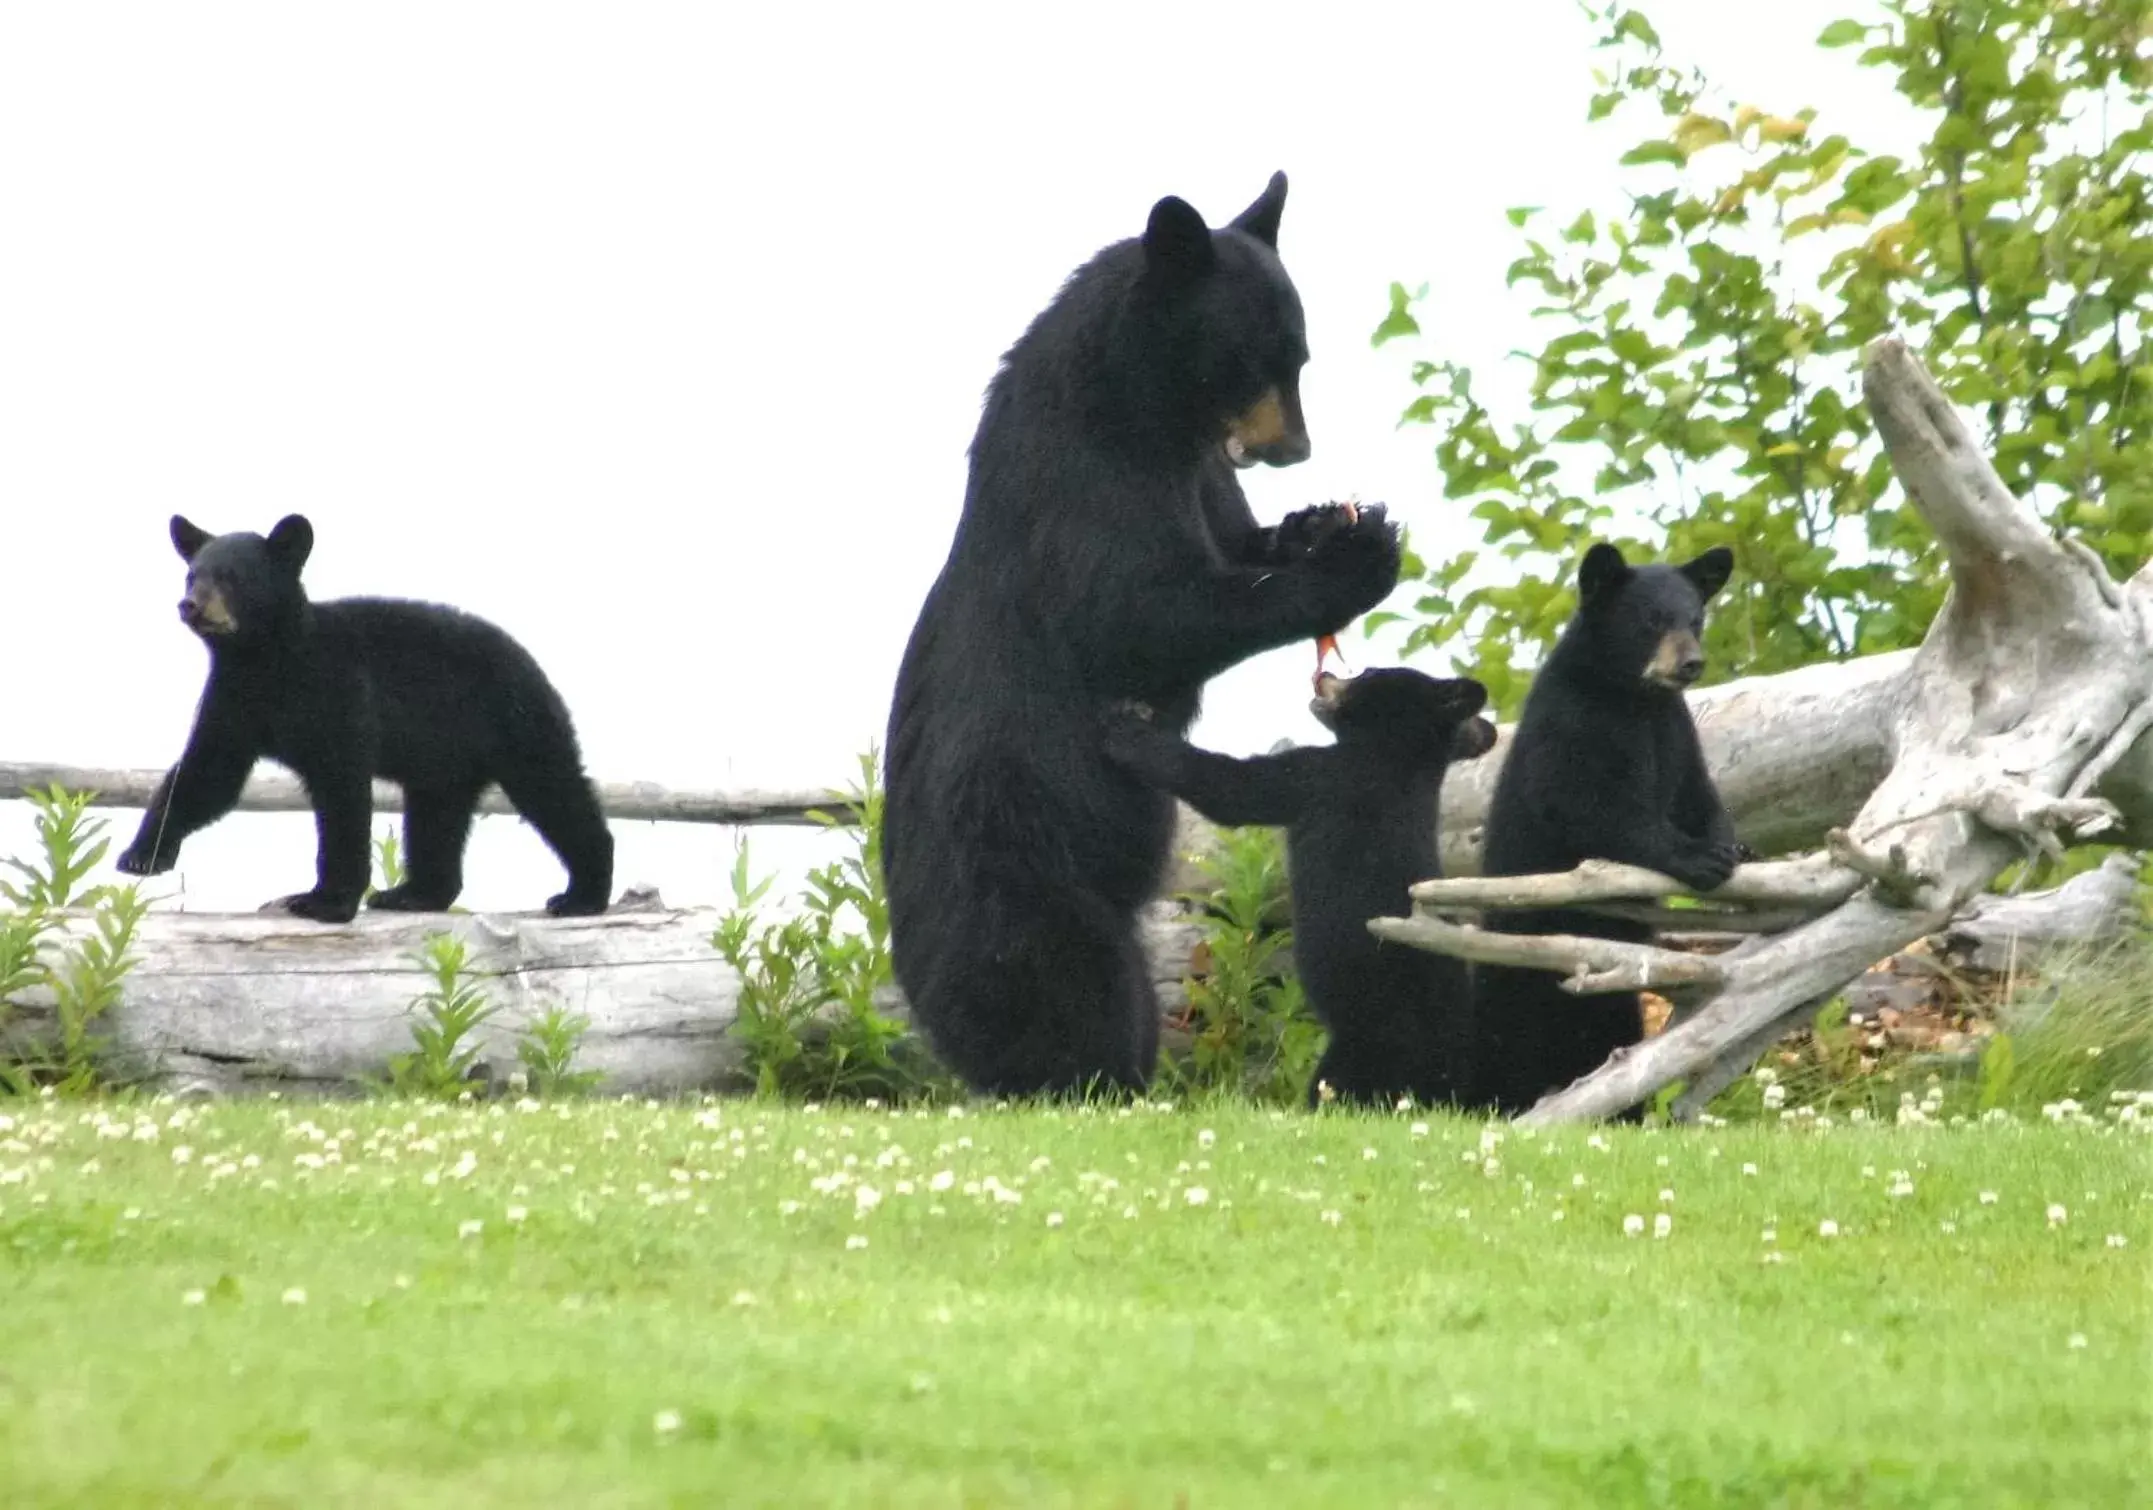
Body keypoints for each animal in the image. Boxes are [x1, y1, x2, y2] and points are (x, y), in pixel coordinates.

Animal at [121, 512, 615, 926]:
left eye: (232, 577)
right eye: (192, 574)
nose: (190, 605)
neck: (270, 660)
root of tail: (530, 661)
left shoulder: (338, 692)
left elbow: (342, 796)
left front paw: (324, 901)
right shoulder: (233, 701)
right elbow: (207, 776)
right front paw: (142, 855)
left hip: (515, 722)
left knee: (554, 791)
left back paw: (581, 895)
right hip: (445, 758)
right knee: (436, 814)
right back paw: (413, 894)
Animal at [887, 173, 1403, 1094]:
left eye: (1300, 357)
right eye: (1256, 357)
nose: (1297, 449)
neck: (1143, 410)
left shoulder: (1199, 473)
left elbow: (1236, 539)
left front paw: (1321, 525)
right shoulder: (1081, 479)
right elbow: (1139, 615)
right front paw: (1351, 562)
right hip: (1022, 884)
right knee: (1075, 997)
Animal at [1102, 663, 1489, 1102]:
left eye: (1367, 671)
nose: (1326, 673)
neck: (1393, 755)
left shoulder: (1322, 778)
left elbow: (1233, 788)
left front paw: (1128, 730)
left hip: (1368, 1042)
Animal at [1472, 542, 1739, 1111]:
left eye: (1695, 619)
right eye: (1652, 619)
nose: (1691, 662)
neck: (1632, 697)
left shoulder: (1674, 729)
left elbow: (1697, 792)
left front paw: (1729, 845)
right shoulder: (1572, 724)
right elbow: (1587, 807)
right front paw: (1697, 857)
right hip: (1519, 969)